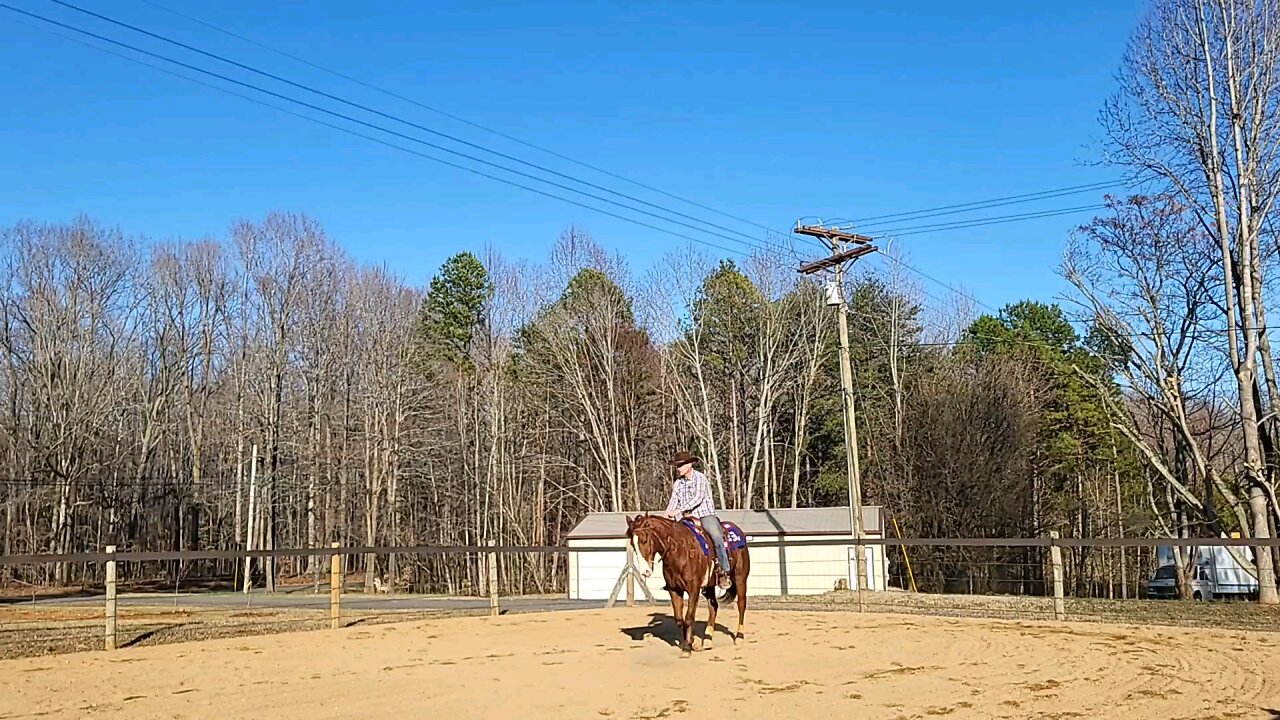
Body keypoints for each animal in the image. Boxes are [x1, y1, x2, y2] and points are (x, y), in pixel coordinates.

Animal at [622, 509, 747, 655]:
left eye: (644, 540)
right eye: (632, 544)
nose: (645, 571)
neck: (679, 550)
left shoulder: (693, 589)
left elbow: (689, 617)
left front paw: (687, 648)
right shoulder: (674, 590)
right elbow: (679, 619)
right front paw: (691, 642)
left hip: (740, 578)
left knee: (741, 605)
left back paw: (739, 637)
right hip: (709, 586)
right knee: (713, 607)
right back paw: (707, 640)